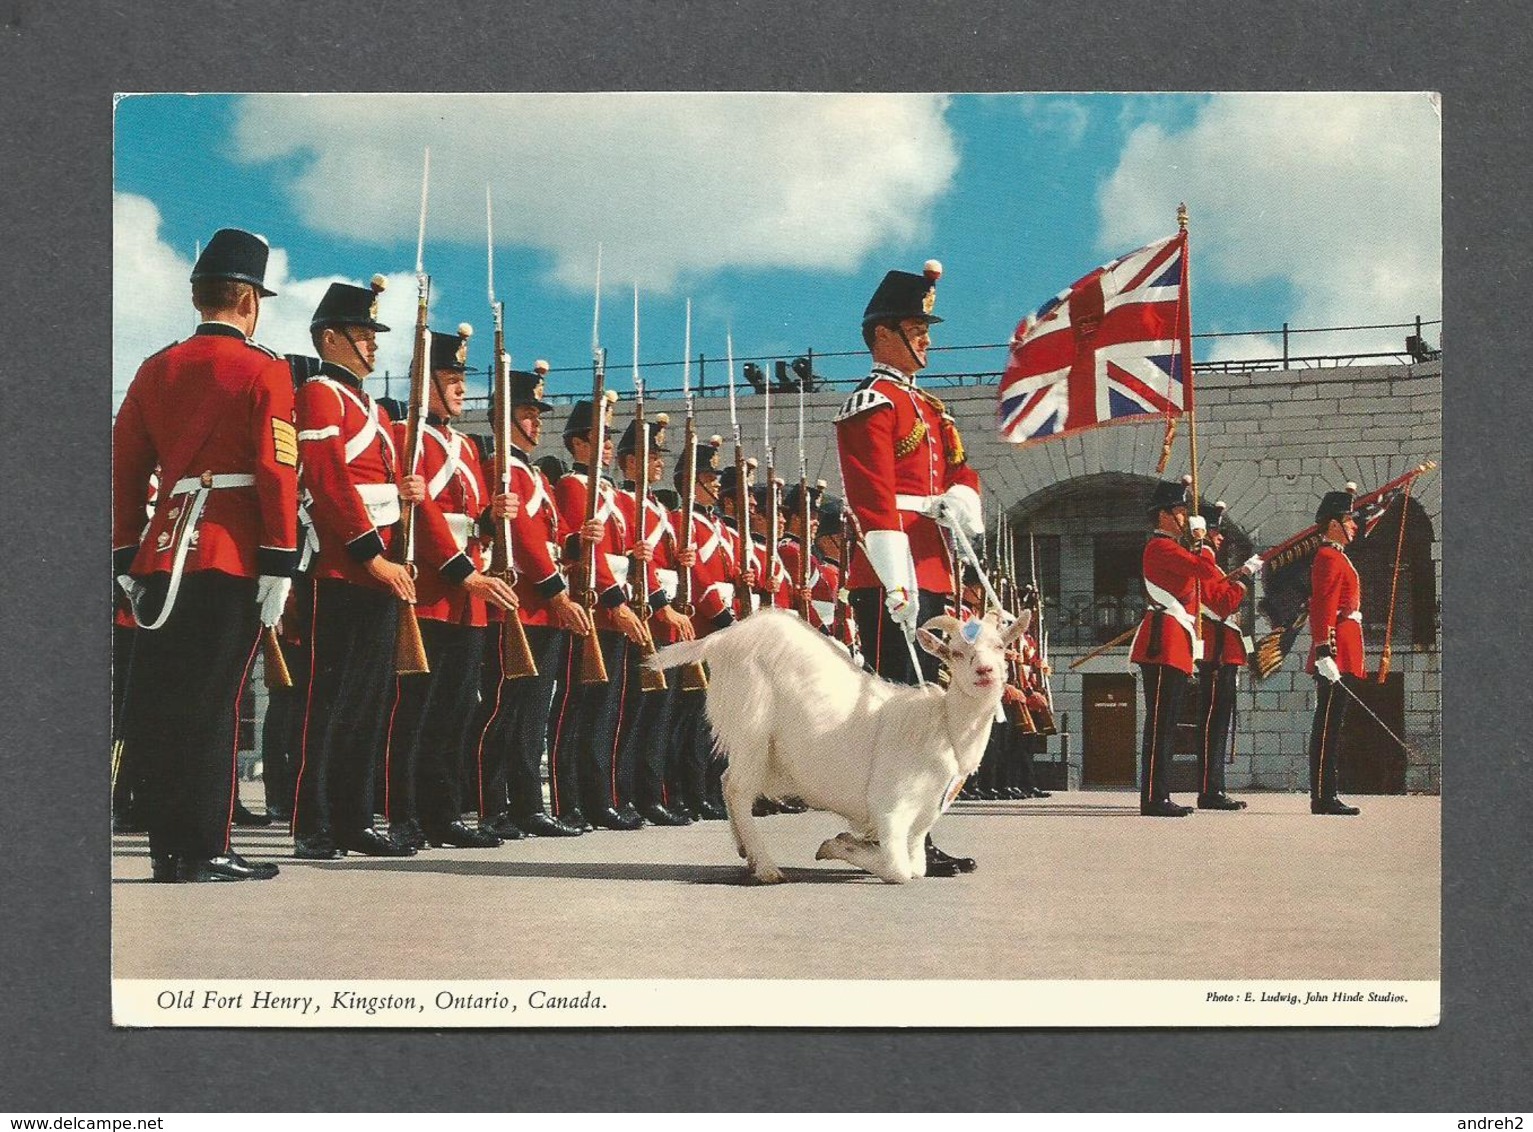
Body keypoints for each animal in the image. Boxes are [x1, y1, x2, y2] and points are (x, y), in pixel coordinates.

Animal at [649, 607, 1024, 883]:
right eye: (957, 653)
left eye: (1000, 647)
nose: (985, 672)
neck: (944, 726)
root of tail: (723, 637)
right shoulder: (891, 807)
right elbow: (899, 871)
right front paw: (836, 845)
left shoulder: (921, 820)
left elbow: (918, 867)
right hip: (751, 726)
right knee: (738, 789)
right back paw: (767, 868)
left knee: (728, 782)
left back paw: (747, 855)